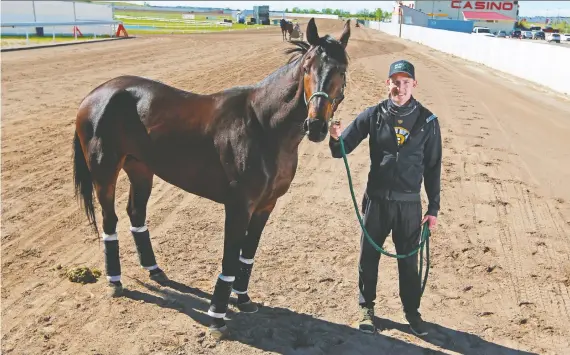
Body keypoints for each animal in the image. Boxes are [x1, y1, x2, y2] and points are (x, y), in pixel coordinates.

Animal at [74, 18, 350, 340]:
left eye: (341, 70)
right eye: (307, 67)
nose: (316, 125)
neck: (263, 126)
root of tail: (96, 94)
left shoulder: (266, 205)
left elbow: (248, 253)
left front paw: (243, 299)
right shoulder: (239, 206)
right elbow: (230, 256)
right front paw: (217, 315)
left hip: (141, 169)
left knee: (136, 214)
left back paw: (155, 270)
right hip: (104, 172)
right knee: (110, 220)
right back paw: (115, 280)